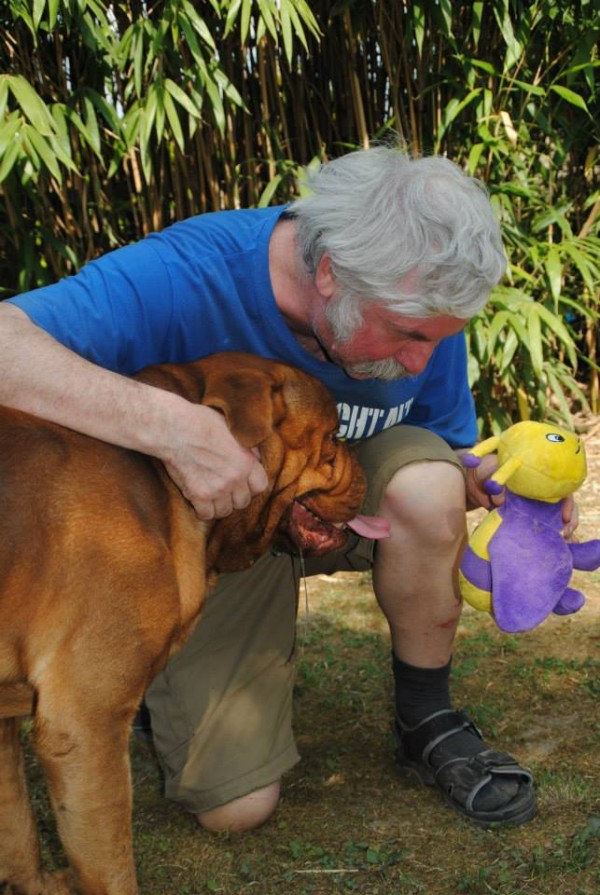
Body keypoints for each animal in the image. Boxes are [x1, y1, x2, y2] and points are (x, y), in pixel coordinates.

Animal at [0, 352, 380, 895]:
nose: (365, 466)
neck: (165, 487)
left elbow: (17, 828)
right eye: (333, 437)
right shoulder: (86, 726)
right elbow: (112, 868)